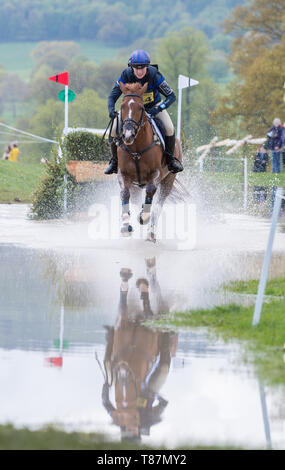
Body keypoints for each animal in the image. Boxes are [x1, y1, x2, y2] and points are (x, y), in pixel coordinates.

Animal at [115, 82, 182, 242]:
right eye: (122, 106)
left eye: (141, 107)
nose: (128, 135)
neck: (136, 146)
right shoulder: (124, 174)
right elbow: (124, 193)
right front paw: (125, 225)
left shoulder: (155, 174)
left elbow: (151, 191)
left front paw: (144, 216)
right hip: (136, 185)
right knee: (135, 198)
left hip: (168, 180)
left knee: (158, 205)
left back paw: (151, 233)